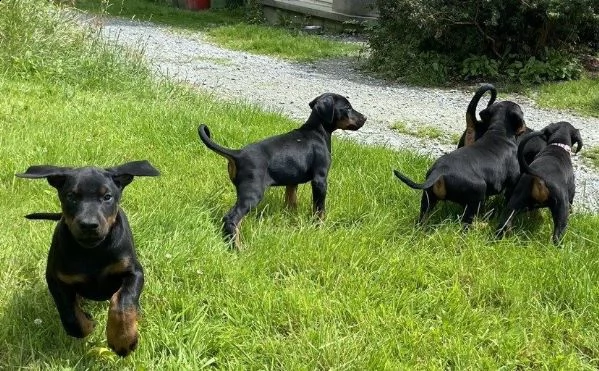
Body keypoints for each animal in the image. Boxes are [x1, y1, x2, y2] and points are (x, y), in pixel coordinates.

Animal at [17, 160, 159, 358]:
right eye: (71, 196)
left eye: (107, 197)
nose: (89, 225)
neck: (92, 251)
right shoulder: (56, 279)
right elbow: (70, 316)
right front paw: (88, 323)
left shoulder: (134, 272)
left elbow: (123, 301)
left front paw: (123, 339)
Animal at [199, 93, 366, 250]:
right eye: (347, 108)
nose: (365, 117)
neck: (316, 132)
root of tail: (238, 154)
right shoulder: (320, 180)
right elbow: (319, 210)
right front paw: (319, 228)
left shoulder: (292, 182)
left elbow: (291, 201)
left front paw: (291, 219)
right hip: (253, 193)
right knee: (232, 218)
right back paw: (238, 248)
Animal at [396, 99, 528, 227]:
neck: (499, 132)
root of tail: (439, 171)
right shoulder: (512, 183)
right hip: (477, 194)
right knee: (466, 221)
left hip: (428, 199)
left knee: (423, 219)